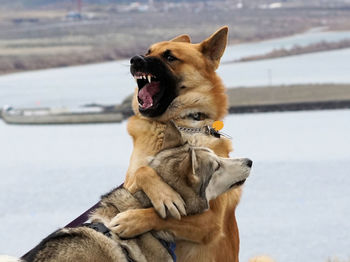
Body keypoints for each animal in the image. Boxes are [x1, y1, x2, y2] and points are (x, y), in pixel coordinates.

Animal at [113, 27, 243, 262]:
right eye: (148, 51)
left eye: (170, 57)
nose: (135, 59)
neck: (180, 124)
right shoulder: (129, 185)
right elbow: (143, 170)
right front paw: (165, 195)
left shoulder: (210, 221)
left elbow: (168, 217)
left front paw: (131, 219)